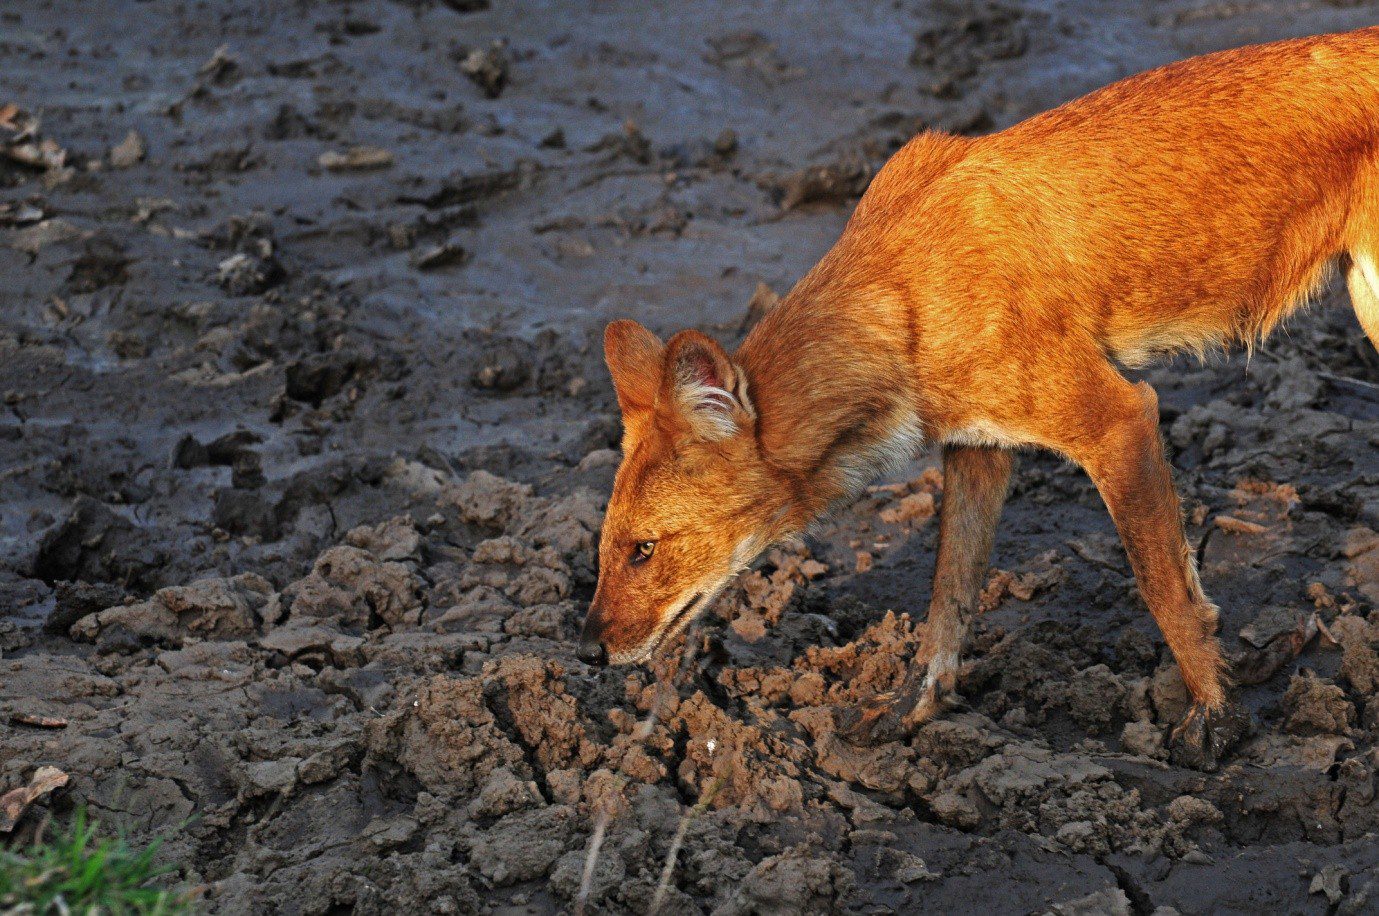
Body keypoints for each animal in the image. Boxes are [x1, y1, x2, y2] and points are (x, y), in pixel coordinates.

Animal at [576, 26, 1379, 767]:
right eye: (607, 546)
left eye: (644, 550)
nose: (587, 651)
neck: (901, 300)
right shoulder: (977, 446)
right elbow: (949, 599)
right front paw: (911, 711)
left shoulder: (1119, 421)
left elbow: (1167, 592)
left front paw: (1213, 719)